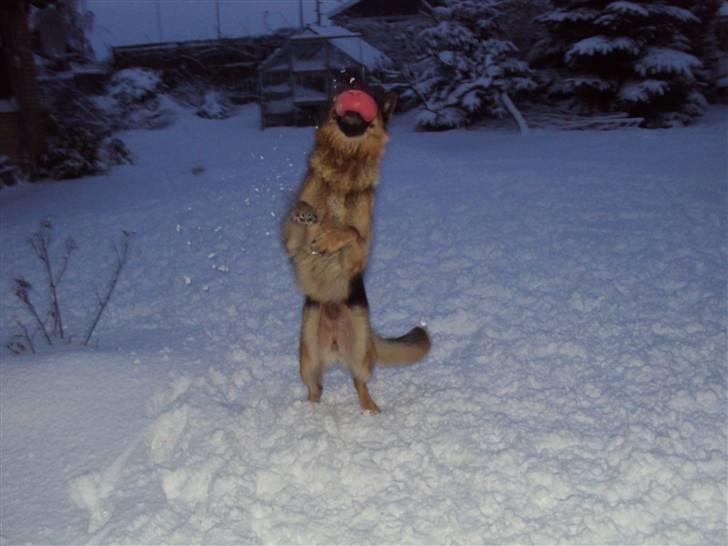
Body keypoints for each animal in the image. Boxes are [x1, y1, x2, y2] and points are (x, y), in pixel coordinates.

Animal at [282, 79, 430, 412]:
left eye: (368, 97)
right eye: (349, 90)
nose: (355, 95)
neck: (343, 166)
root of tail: (336, 345)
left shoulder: (358, 256)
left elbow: (349, 230)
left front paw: (328, 238)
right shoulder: (290, 242)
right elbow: (299, 212)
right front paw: (306, 214)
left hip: (361, 353)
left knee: (358, 382)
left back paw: (371, 411)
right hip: (307, 356)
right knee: (316, 387)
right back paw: (310, 411)